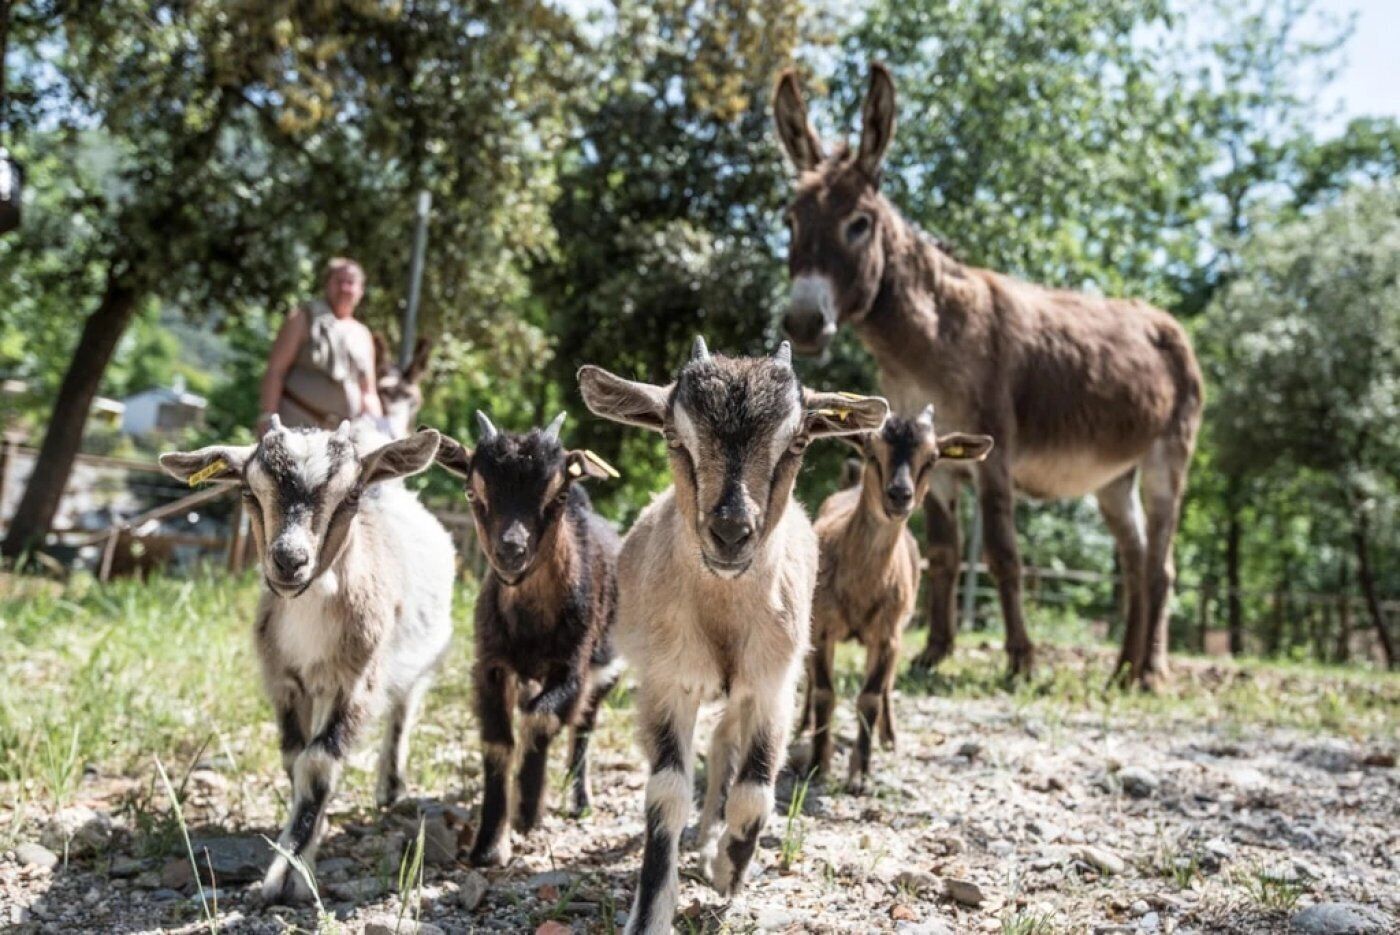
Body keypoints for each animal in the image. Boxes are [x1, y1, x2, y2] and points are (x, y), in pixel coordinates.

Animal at [160, 418, 452, 903]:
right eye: (248, 490)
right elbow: (294, 758)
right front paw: (303, 839)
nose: (289, 560)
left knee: (403, 707)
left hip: (424, 653)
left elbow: (316, 762)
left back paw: (390, 787)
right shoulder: (285, 682)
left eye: (350, 495)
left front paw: (290, 872)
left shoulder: (357, 682)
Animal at [433, 411, 622, 867]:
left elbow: (542, 718)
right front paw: (488, 845)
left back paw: (579, 800)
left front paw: (527, 809)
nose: (511, 551)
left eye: (557, 495)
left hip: (606, 669)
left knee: (583, 727)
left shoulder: (572, 668)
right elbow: (498, 740)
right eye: (472, 491)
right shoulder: (491, 666)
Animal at [578, 338, 888, 935]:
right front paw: (652, 911)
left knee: (726, 748)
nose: (729, 533)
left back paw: (711, 851)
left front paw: (729, 872)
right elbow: (667, 791)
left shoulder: (773, 685)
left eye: (798, 441)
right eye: (674, 436)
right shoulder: (667, 682)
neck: (722, 617)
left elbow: (754, 791)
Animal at [802, 406, 992, 790]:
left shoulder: (887, 634)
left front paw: (860, 775)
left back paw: (888, 737)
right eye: (872, 451)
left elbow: (871, 696)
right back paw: (802, 726)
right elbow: (824, 691)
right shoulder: (822, 628)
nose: (900, 494)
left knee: (887, 684)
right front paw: (816, 765)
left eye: (932, 459)